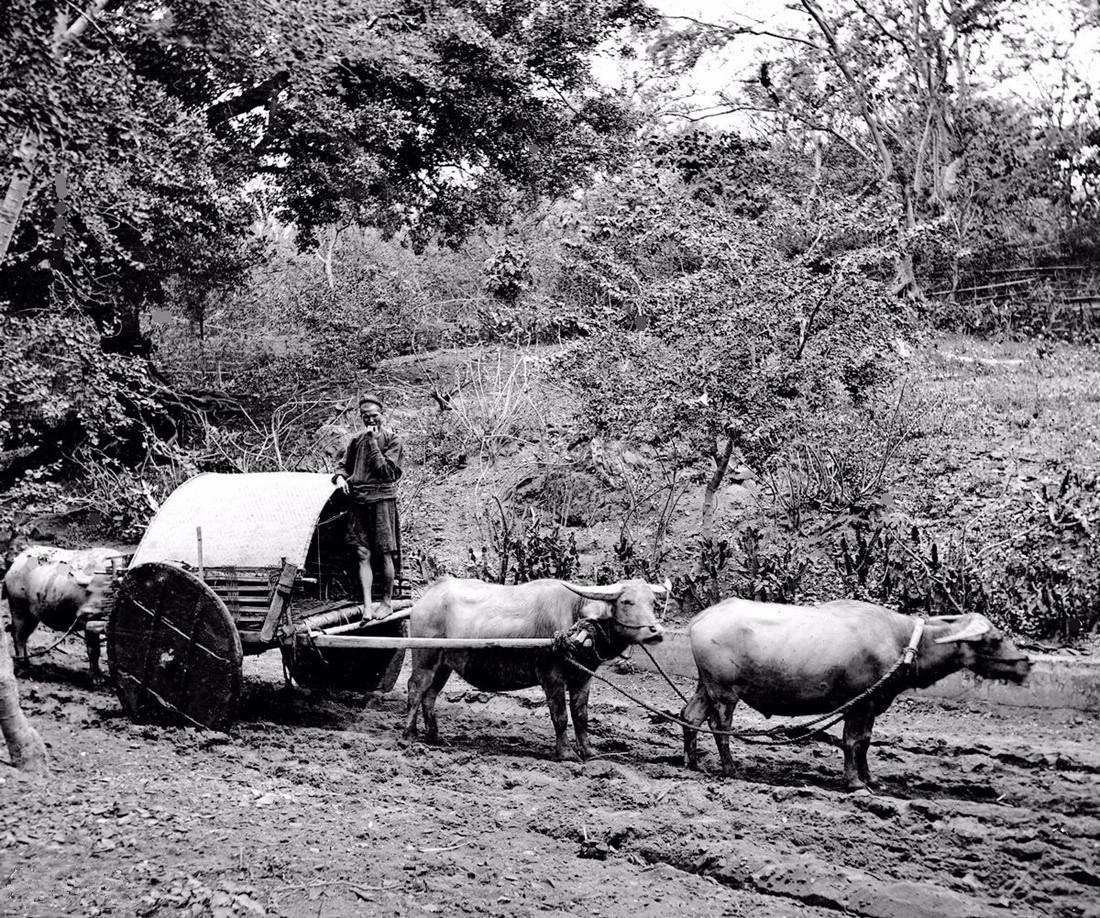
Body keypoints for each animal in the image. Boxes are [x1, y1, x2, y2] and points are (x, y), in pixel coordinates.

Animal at [2, 545, 127, 681]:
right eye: (89, 591)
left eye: (109, 593)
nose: (87, 612)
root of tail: (14, 564)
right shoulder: (89, 622)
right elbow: (94, 650)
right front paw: (96, 678)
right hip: (18, 606)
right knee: (18, 634)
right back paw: (23, 670)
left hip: (32, 614)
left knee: (25, 634)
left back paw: (27, 664)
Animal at [402, 580, 664, 760]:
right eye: (627, 601)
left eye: (652, 602)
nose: (656, 632)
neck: (574, 619)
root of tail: (425, 600)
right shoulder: (552, 677)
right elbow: (560, 715)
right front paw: (566, 753)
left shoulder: (583, 677)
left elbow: (581, 715)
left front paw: (588, 751)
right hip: (424, 657)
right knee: (415, 688)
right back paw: (409, 735)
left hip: (444, 665)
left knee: (430, 696)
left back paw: (435, 737)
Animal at [677, 602, 1029, 791]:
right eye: (995, 639)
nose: (1026, 663)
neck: (902, 642)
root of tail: (702, 619)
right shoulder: (860, 703)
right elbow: (852, 742)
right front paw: (855, 782)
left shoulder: (871, 705)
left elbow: (866, 743)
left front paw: (871, 778)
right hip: (724, 692)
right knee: (720, 727)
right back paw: (730, 769)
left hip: (706, 686)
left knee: (690, 717)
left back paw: (693, 763)